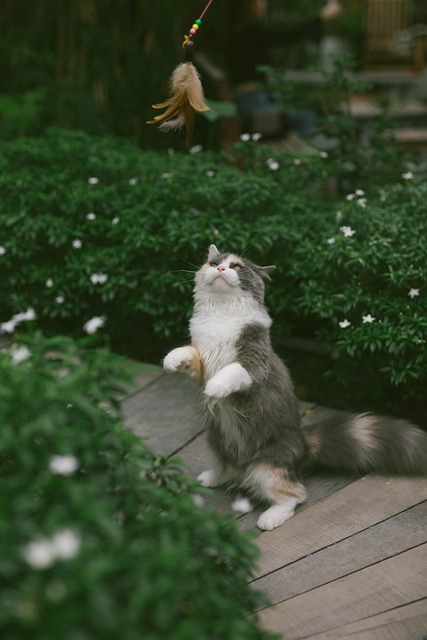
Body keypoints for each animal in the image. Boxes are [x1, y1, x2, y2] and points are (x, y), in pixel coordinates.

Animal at [163, 245, 427, 528]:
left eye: (237, 267)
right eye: (213, 264)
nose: (221, 269)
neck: (222, 313)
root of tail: (303, 444)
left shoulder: (254, 361)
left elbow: (231, 373)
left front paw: (215, 388)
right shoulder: (202, 362)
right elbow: (186, 352)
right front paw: (170, 361)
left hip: (265, 470)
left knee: (295, 495)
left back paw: (270, 518)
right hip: (215, 446)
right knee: (228, 470)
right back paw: (211, 477)